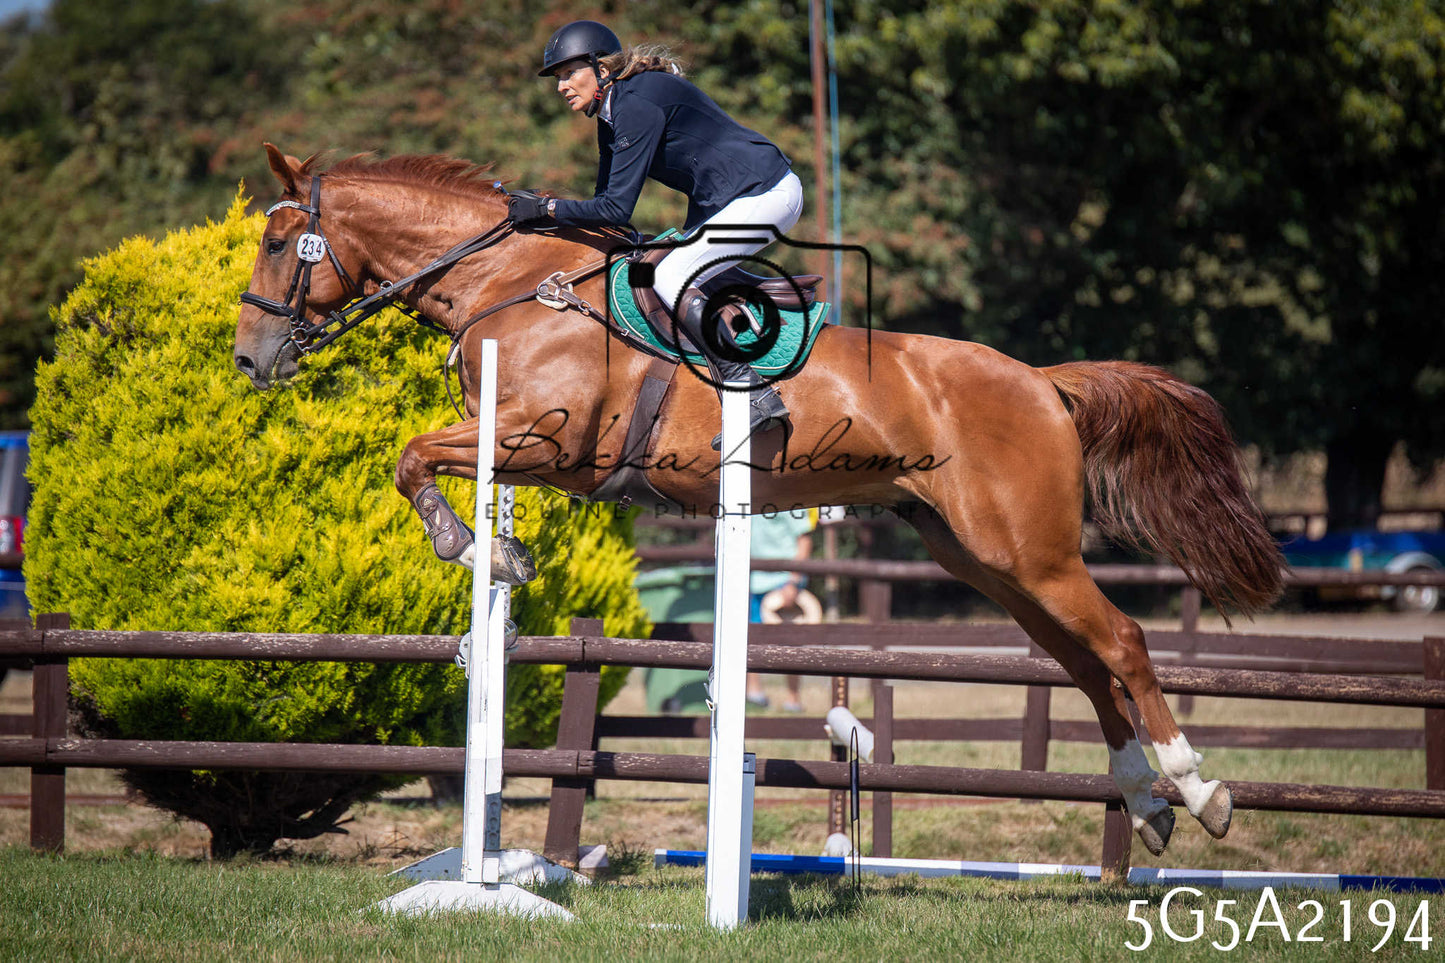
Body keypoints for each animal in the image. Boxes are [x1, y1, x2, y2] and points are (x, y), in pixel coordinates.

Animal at [234, 144, 1284, 857]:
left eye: (282, 242)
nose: (250, 360)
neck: (509, 283)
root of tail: (1038, 378)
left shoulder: (551, 438)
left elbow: (411, 459)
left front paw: (477, 549)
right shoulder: (523, 447)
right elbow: (418, 460)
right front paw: (499, 552)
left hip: (1033, 552)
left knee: (1122, 643)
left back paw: (1199, 791)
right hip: (987, 558)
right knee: (1079, 661)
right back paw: (1144, 806)